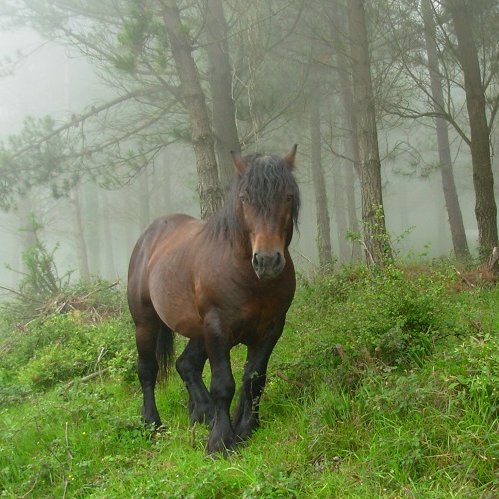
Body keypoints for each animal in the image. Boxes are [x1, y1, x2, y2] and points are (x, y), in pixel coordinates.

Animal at [127, 144, 302, 454]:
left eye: (288, 196)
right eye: (245, 198)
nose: (267, 261)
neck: (246, 276)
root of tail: (149, 237)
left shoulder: (271, 329)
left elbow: (254, 379)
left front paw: (245, 427)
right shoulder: (218, 328)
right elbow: (224, 384)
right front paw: (220, 440)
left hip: (198, 331)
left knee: (186, 365)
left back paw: (203, 413)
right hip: (146, 323)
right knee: (147, 370)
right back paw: (153, 423)